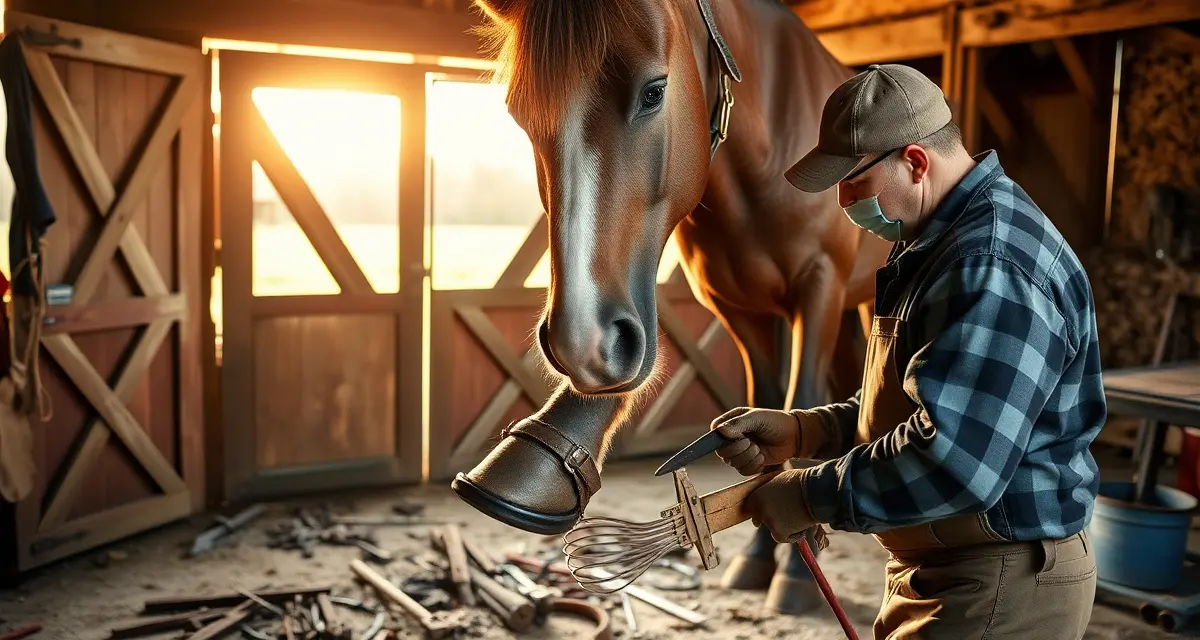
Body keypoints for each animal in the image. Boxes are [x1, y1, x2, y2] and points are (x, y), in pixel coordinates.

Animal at [450, 0, 892, 613]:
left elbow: (799, 395)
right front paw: (762, 551)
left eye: (654, 92)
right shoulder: (738, 308)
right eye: (519, 113)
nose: (586, 348)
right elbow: (764, 401)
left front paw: (795, 571)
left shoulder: (820, 286)